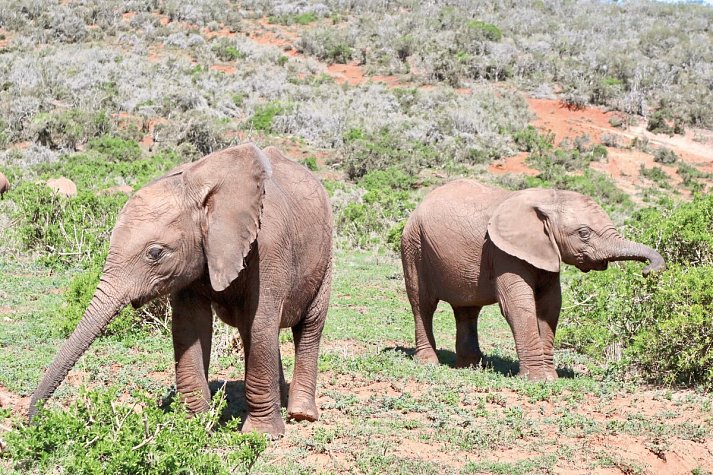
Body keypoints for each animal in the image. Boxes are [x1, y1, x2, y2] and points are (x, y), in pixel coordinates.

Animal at [30, 144, 333, 437]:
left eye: (155, 253)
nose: (34, 422)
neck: (197, 189)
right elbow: (190, 326)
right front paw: (193, 426)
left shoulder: (270, 247)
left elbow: (261, 322)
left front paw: (260, 435)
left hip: (326, 256)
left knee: (307, 328)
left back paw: (301, 415)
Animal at [401, 180, 665, 381]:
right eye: (584, 233)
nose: (648, 272)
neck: (547, 200)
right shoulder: (502, 251)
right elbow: (518, 305)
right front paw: (537, 379)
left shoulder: (545, 250)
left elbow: (550, 306)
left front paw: (551, 378)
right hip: (414, 245)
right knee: (423, 304)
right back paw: (429, 362)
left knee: (467, 309)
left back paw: (472, 366)